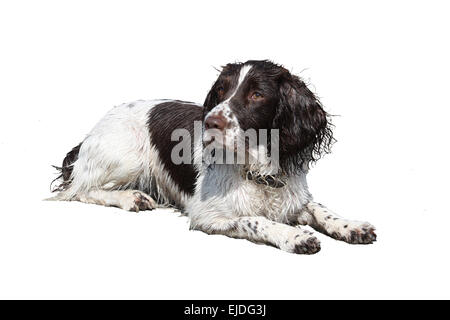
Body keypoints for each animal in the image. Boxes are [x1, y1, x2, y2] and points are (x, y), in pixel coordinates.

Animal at [50, 60, 376, 255]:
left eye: (257, 94)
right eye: (221, 90)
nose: (210, 122)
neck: (257, 172)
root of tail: (90, 133)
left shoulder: (293, 198)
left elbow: (321, 209)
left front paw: (351, 226)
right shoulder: (208, 215)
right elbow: (255, 219)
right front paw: (293, 236)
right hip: (126, 156)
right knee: (78, 189)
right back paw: (132, 197)